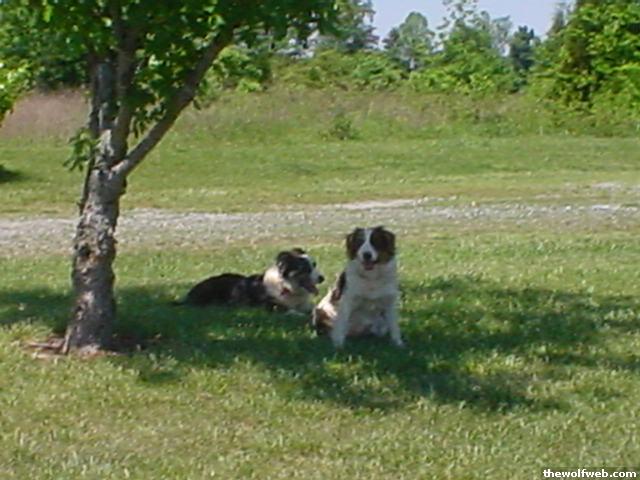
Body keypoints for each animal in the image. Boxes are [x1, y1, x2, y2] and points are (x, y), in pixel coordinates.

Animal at [176, 249, 324, 314]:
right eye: (305, 268)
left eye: (314, 264)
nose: (322, 278)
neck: (286, 287)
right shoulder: (270, 306)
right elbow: (292, 311)